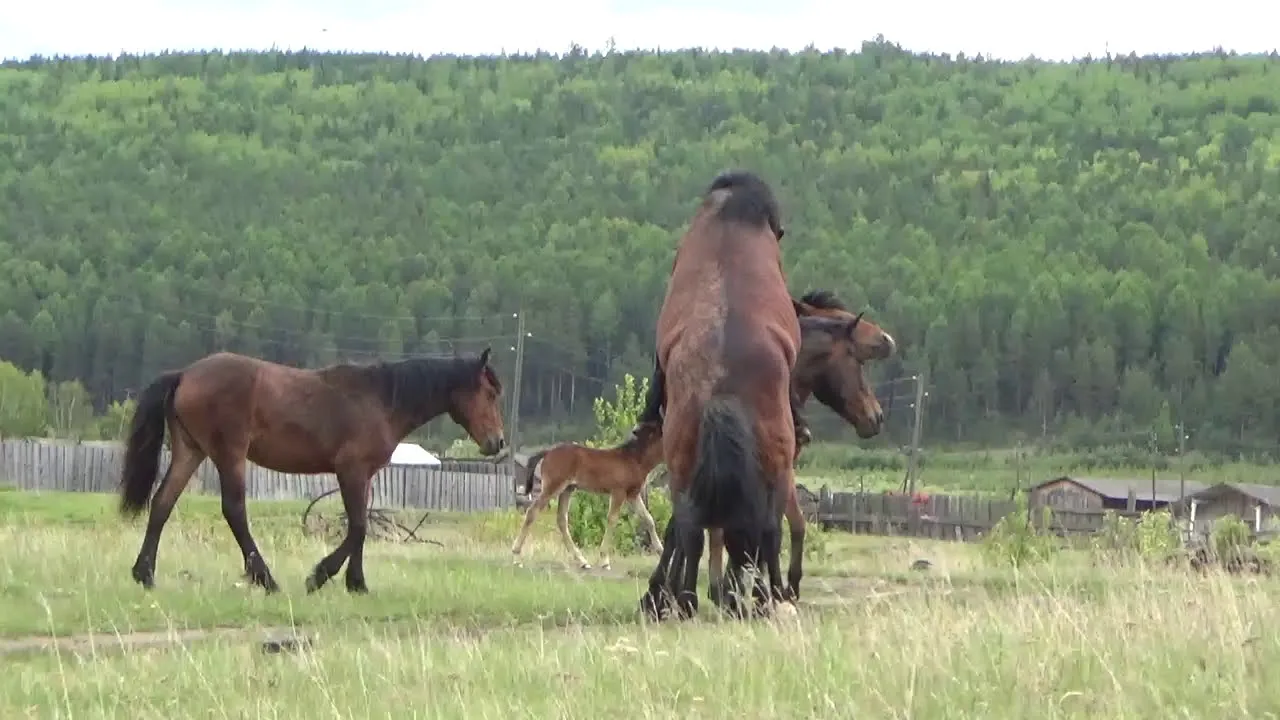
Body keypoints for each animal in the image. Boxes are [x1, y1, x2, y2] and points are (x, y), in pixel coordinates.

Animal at [116, 348, 504, 594]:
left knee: (162, 504)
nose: (498, 442)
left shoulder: (365, 476)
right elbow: (358, 527)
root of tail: (184, 374)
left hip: (190, 452)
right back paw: (266, 579)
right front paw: (321, 575)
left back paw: (144, 574)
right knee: (234, 510)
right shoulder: (351, 471)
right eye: (489, 393)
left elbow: (360, 525)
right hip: (229, 455)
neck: (381, 401)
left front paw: (357, 583)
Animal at [509, 420, 665, 566]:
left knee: (561, 520)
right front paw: (604, 559)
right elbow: (612, 519)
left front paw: (661, 550)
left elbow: (648, 518)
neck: (633, 459)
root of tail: (547, 452)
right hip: (553, 487)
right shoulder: (618, 492)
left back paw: (582, 561)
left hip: (567, 489)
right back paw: (516, 553)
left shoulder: (633, 494)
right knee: (532, 511)